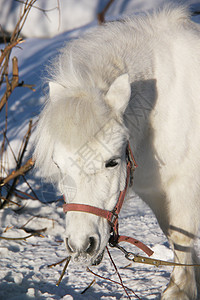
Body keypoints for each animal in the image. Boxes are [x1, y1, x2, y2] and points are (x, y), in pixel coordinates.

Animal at [34, 5, 200, 300]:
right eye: (59, 165)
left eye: (112, 162)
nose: (81, 246)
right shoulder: (155, 192)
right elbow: (174, 235)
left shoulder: (186, 185)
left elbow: (182, 238)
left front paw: (178, 290)